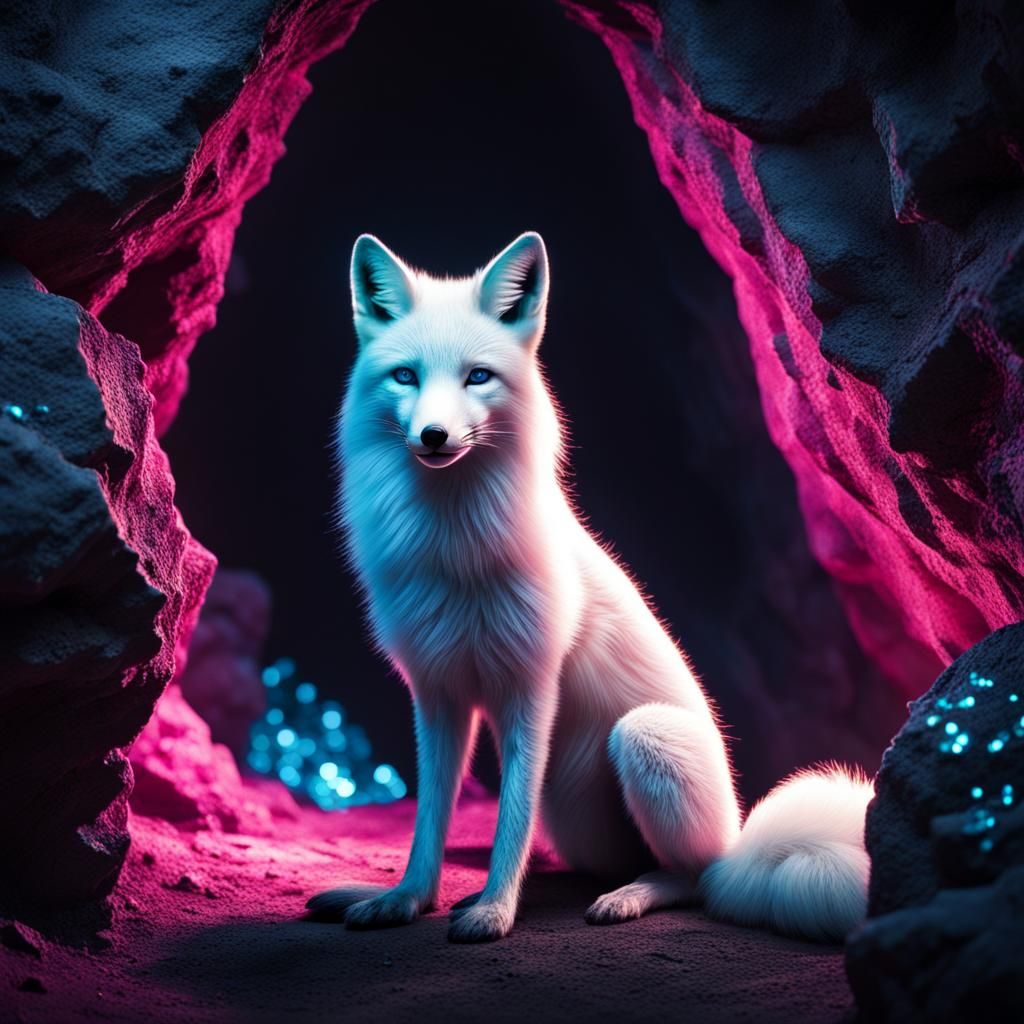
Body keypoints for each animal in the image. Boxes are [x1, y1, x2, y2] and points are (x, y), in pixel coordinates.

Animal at [307, 231, 874, 944]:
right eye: (406, 375)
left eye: (477, 376)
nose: (433, 436)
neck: (454, 548)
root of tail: (737, 839)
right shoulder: (437, 692)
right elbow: (430, 817)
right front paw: (410, 897)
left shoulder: (532, 685)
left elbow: (510, 818)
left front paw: (494, 909)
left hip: (645, 737)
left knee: (694, 880)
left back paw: (631, 894)